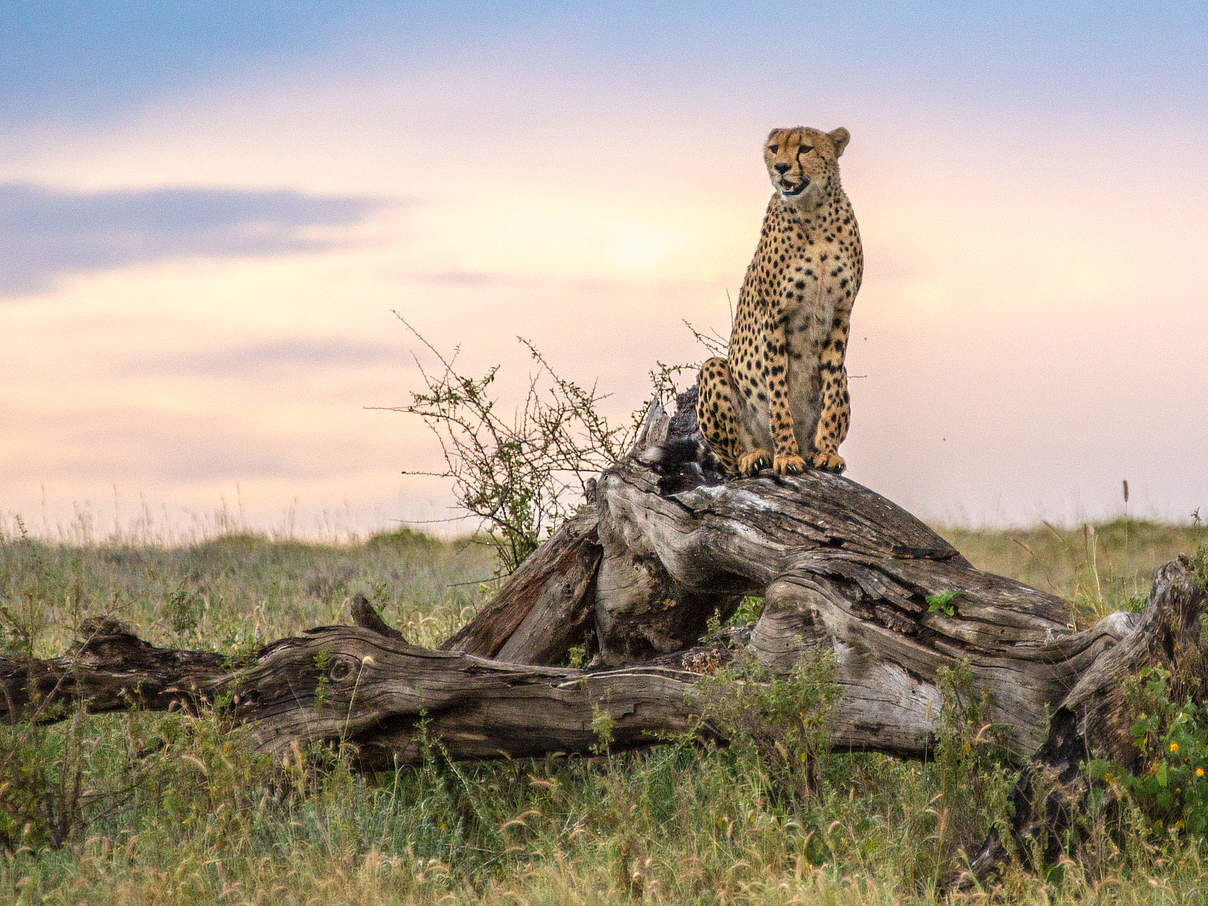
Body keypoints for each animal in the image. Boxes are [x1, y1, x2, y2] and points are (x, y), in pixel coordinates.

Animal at [700, 129, 860, 483]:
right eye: (774, 149)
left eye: (805, 149)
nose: (782, 167)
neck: (814, 214)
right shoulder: (774, 317)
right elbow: (777, 392)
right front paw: (787, 456)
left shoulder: (841, 314)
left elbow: (830, 390)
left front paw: (827, 452)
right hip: (713, 368)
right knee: (731, 461)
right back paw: (756, 456)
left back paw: (810, 450)